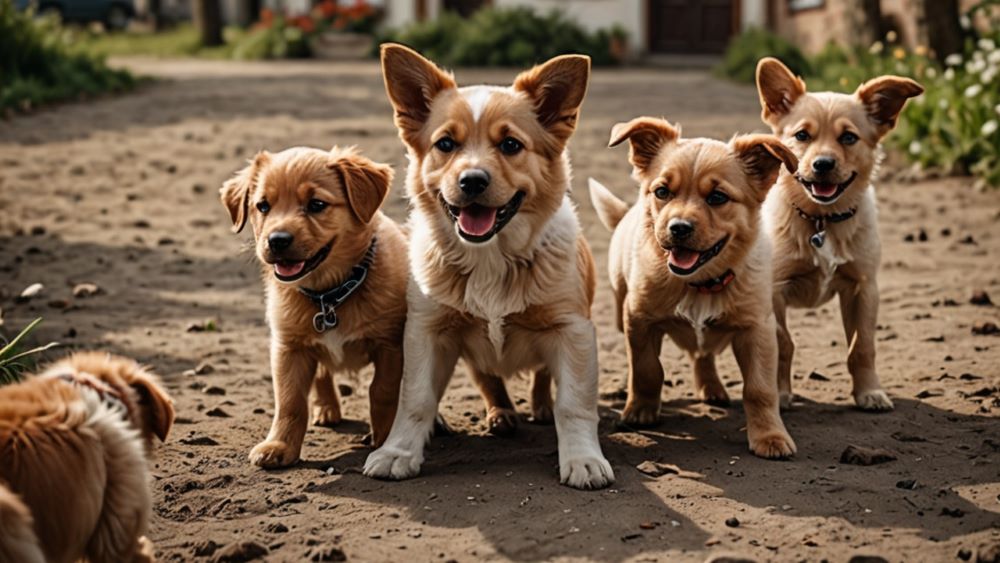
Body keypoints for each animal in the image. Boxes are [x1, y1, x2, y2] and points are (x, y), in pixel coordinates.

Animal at [221, 145, 408, 468]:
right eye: (263, 206)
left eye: (317, 204)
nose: (277, 240)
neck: (329, 295)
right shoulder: (289, 348)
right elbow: (290, 401)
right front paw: (280, 445)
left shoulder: (390, 345)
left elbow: (383, 393)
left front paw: (385, 440)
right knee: (322, 374)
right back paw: (327, 408)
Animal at [358, 45, 608, 490]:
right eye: (445, 143)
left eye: (510, 144)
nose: (472, 180)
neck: (491, 257)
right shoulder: (427, 331)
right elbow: (415, 398)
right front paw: (398, 451)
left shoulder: (572, 329)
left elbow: (573, 403)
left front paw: (582, 458)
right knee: (488, 377)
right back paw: (500, 412)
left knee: (544, 378)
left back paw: (537, 408)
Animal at [588, 118, 800, 458]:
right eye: (662, 191)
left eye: (717, 197)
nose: (678, 228)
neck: (699, 283)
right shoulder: (638, 319)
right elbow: (646, 369)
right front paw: (640, 411)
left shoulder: (758, 329)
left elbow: (759, 388)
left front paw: (770, 436)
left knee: (704, 355)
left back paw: (711, 388)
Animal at [752, 58, 924, 410]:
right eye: (802, 135)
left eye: (848, 137)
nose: (823, 164)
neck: (822, 220)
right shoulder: (774, 291)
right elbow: (783, 343)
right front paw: (780, 394)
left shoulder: (864, 288)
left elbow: (862, 345)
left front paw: (869, 392)